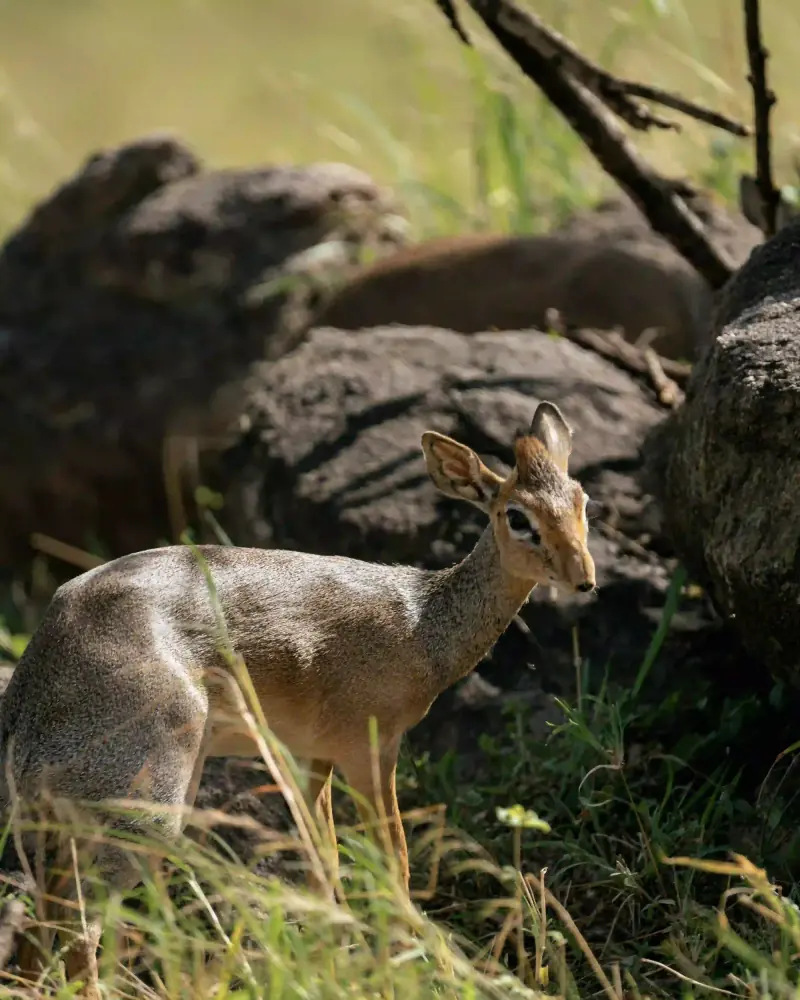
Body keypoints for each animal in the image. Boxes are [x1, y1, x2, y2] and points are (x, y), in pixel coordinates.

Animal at [0, 401, 595, 999]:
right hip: (145, 808)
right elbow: (393, 864)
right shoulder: (369, 748)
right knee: (80, 928)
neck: (422, 625)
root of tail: (30, 687)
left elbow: (323, 865)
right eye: (517, 516)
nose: (585, 580)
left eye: (581, 499)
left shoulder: (311, 757)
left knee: (41, 923)